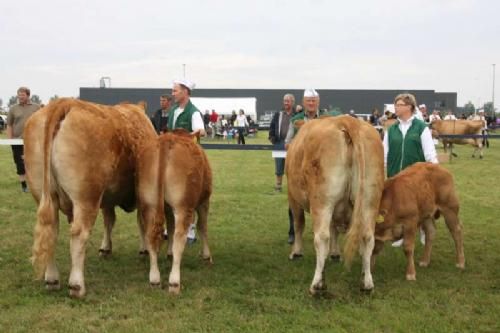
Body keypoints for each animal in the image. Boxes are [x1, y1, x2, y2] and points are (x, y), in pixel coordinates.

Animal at [24, 97, 163, 296]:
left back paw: (52, 279)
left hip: (44, 195)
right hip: (86, 198)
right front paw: (143, 251)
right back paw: (76, 285)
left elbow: (109, 220)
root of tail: (63, 103)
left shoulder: (108, 197)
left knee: (51, 231)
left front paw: (105, 248)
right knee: (79, 235)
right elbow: (140, 223)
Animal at [286, 115, 382, 294]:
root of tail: (348, 120)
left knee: (322, 237)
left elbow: (298, 224)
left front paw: (296, 252)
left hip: (322, 201)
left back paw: (317, 285)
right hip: (370, 199)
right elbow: (334, 229)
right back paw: (367, 283)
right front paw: (335, 254)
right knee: (367, 236)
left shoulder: (293, 198)